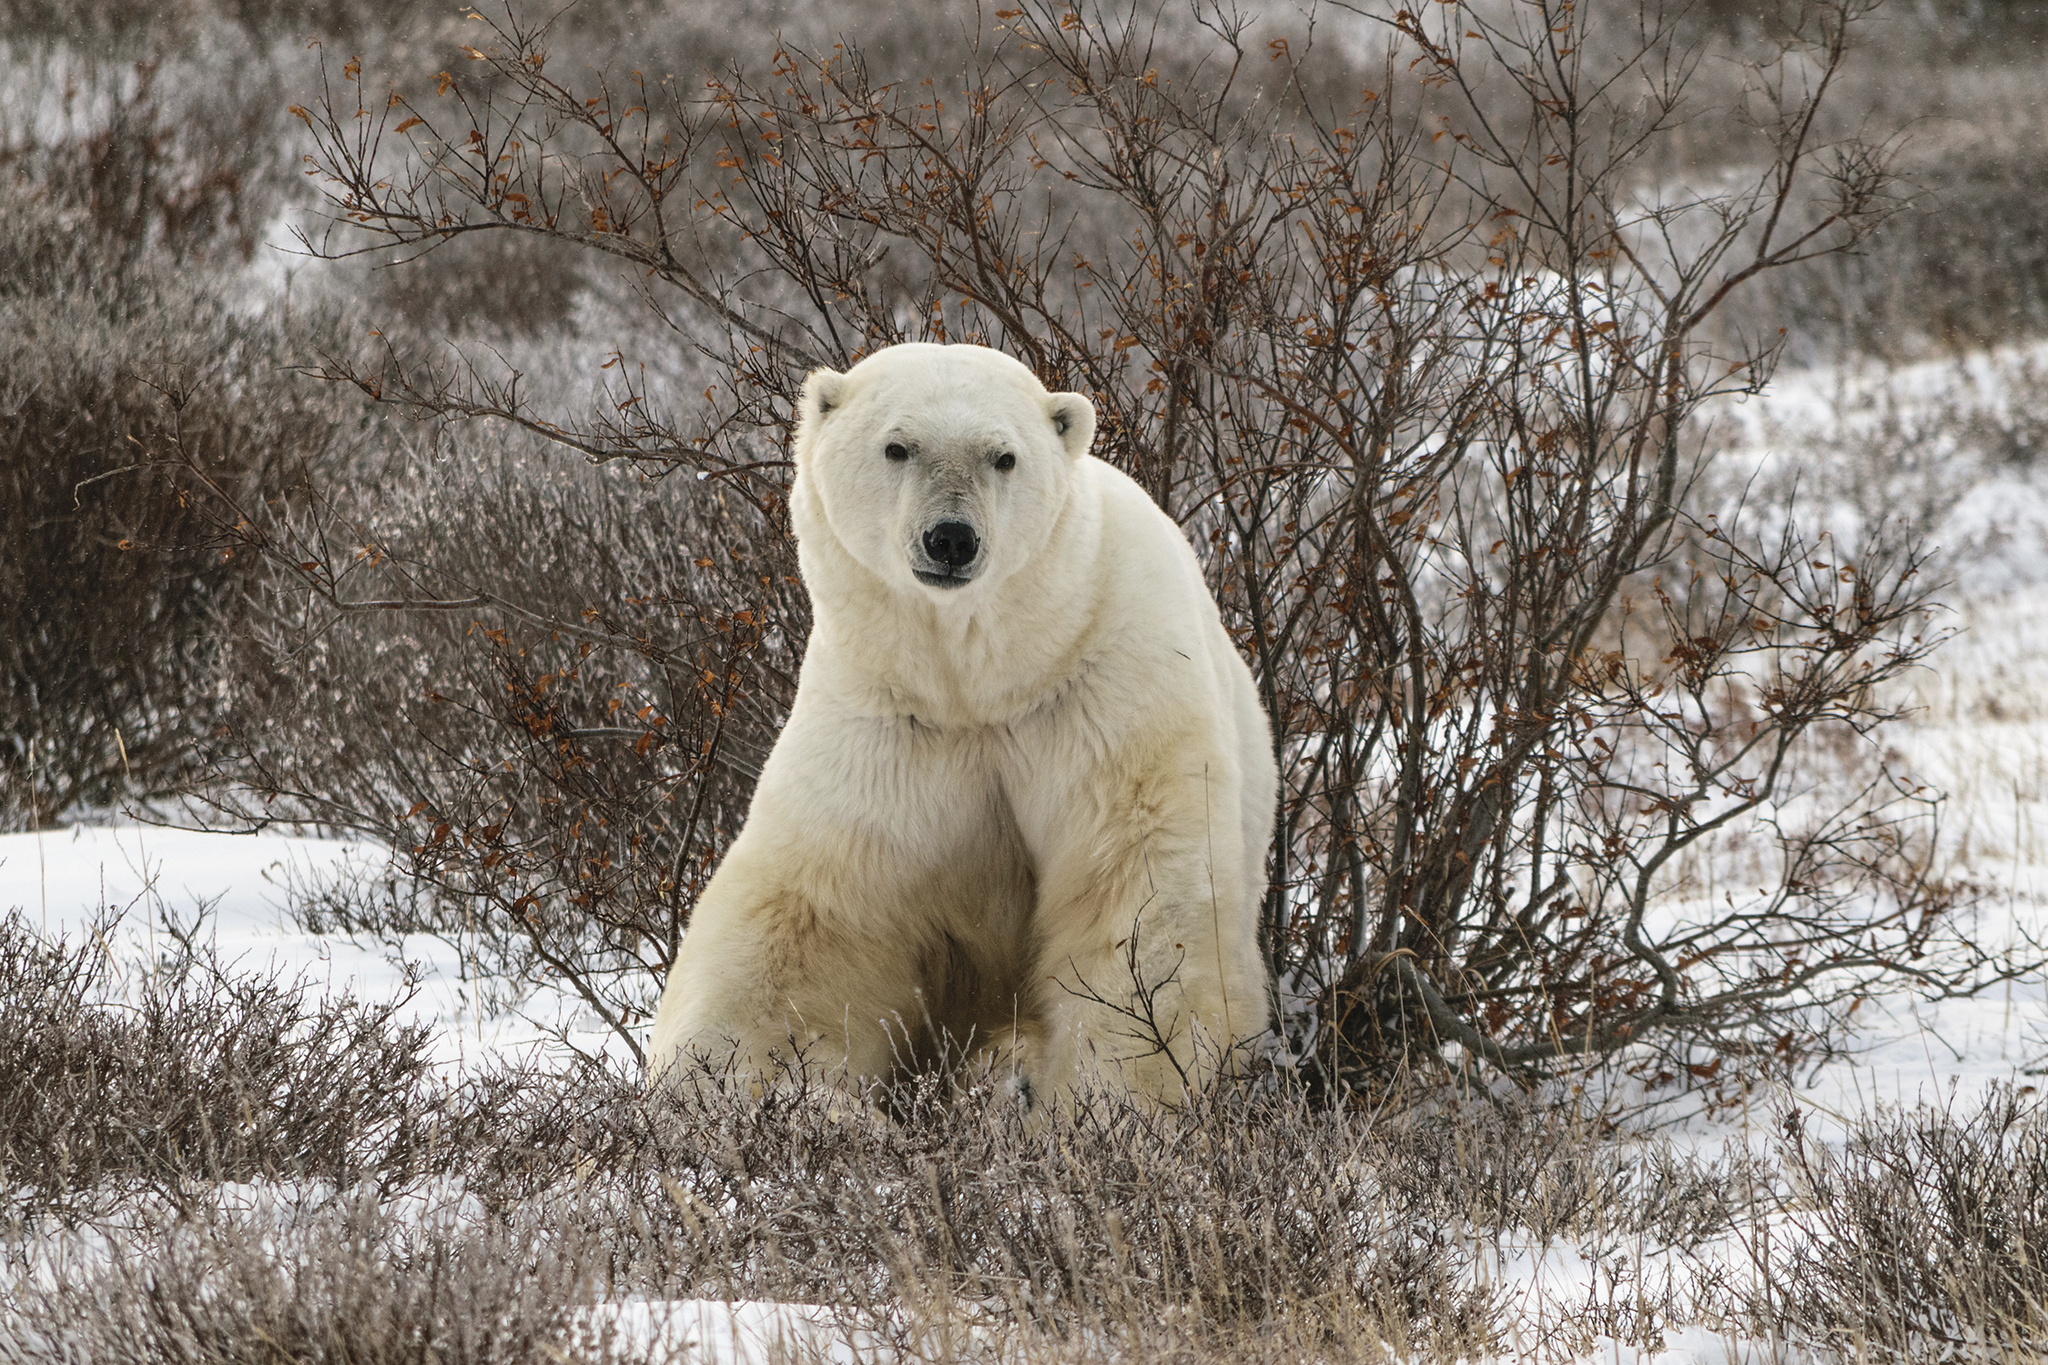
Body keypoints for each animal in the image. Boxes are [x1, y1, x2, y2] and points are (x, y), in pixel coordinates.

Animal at [647, 342, 1276, 1106]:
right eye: (898, 446)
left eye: (1003, 456)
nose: (951, 538)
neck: (983, 685)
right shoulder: (886, 727)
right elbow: (809, 921)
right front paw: (725, 1082)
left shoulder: (1108, 692)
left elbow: (1137, 891)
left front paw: (1113, 1097)